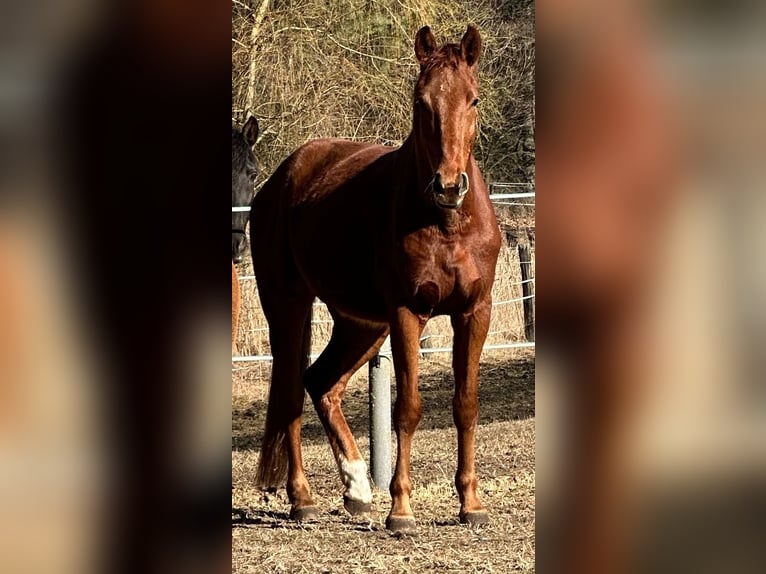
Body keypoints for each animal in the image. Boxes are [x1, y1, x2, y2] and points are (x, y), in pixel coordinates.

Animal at [249, 25, 501, 533]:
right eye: (421, 101)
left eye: (474, 99)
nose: (449, 186)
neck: (448, 224)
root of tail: (282, 178)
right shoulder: (407, 313)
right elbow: (407, 408)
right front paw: (400, 509)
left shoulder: (474, 312)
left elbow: (466, 405)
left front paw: (471, 504)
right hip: (289, 305)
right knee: (290, 391)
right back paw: (303, 499)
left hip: (361, 323)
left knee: (321, 382)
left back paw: (358, 489)